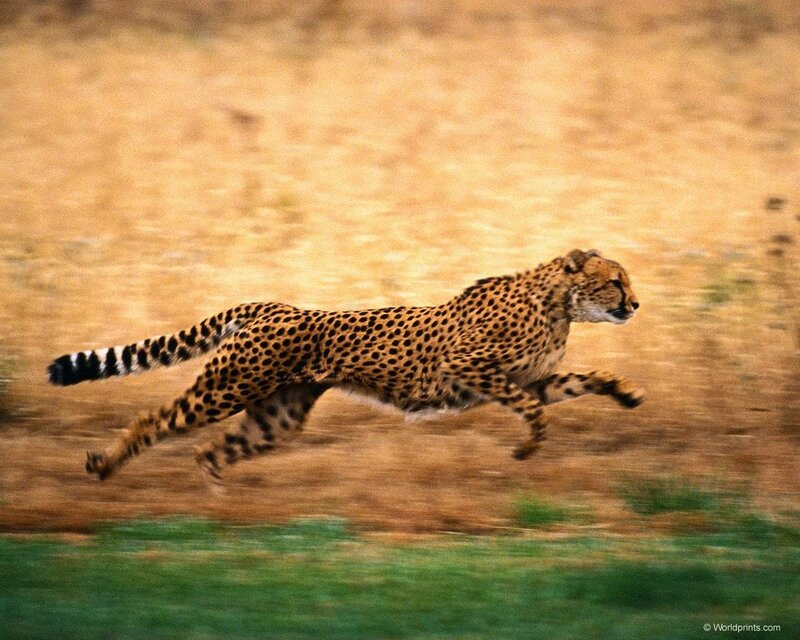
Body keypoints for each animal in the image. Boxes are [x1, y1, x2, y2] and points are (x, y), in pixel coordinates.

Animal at [48, 248, 644, 490]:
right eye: (615, 280)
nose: (636, 304)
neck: (558, 303)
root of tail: (272, 306)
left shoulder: (534, 379)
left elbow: (586, 379)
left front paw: (628, 393)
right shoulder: (466, 366)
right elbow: (532, 411)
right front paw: (526, 447)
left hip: (278, 416)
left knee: (209, 451)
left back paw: (221, 506)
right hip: (226, 388)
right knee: (156, 420)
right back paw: (104, 466)